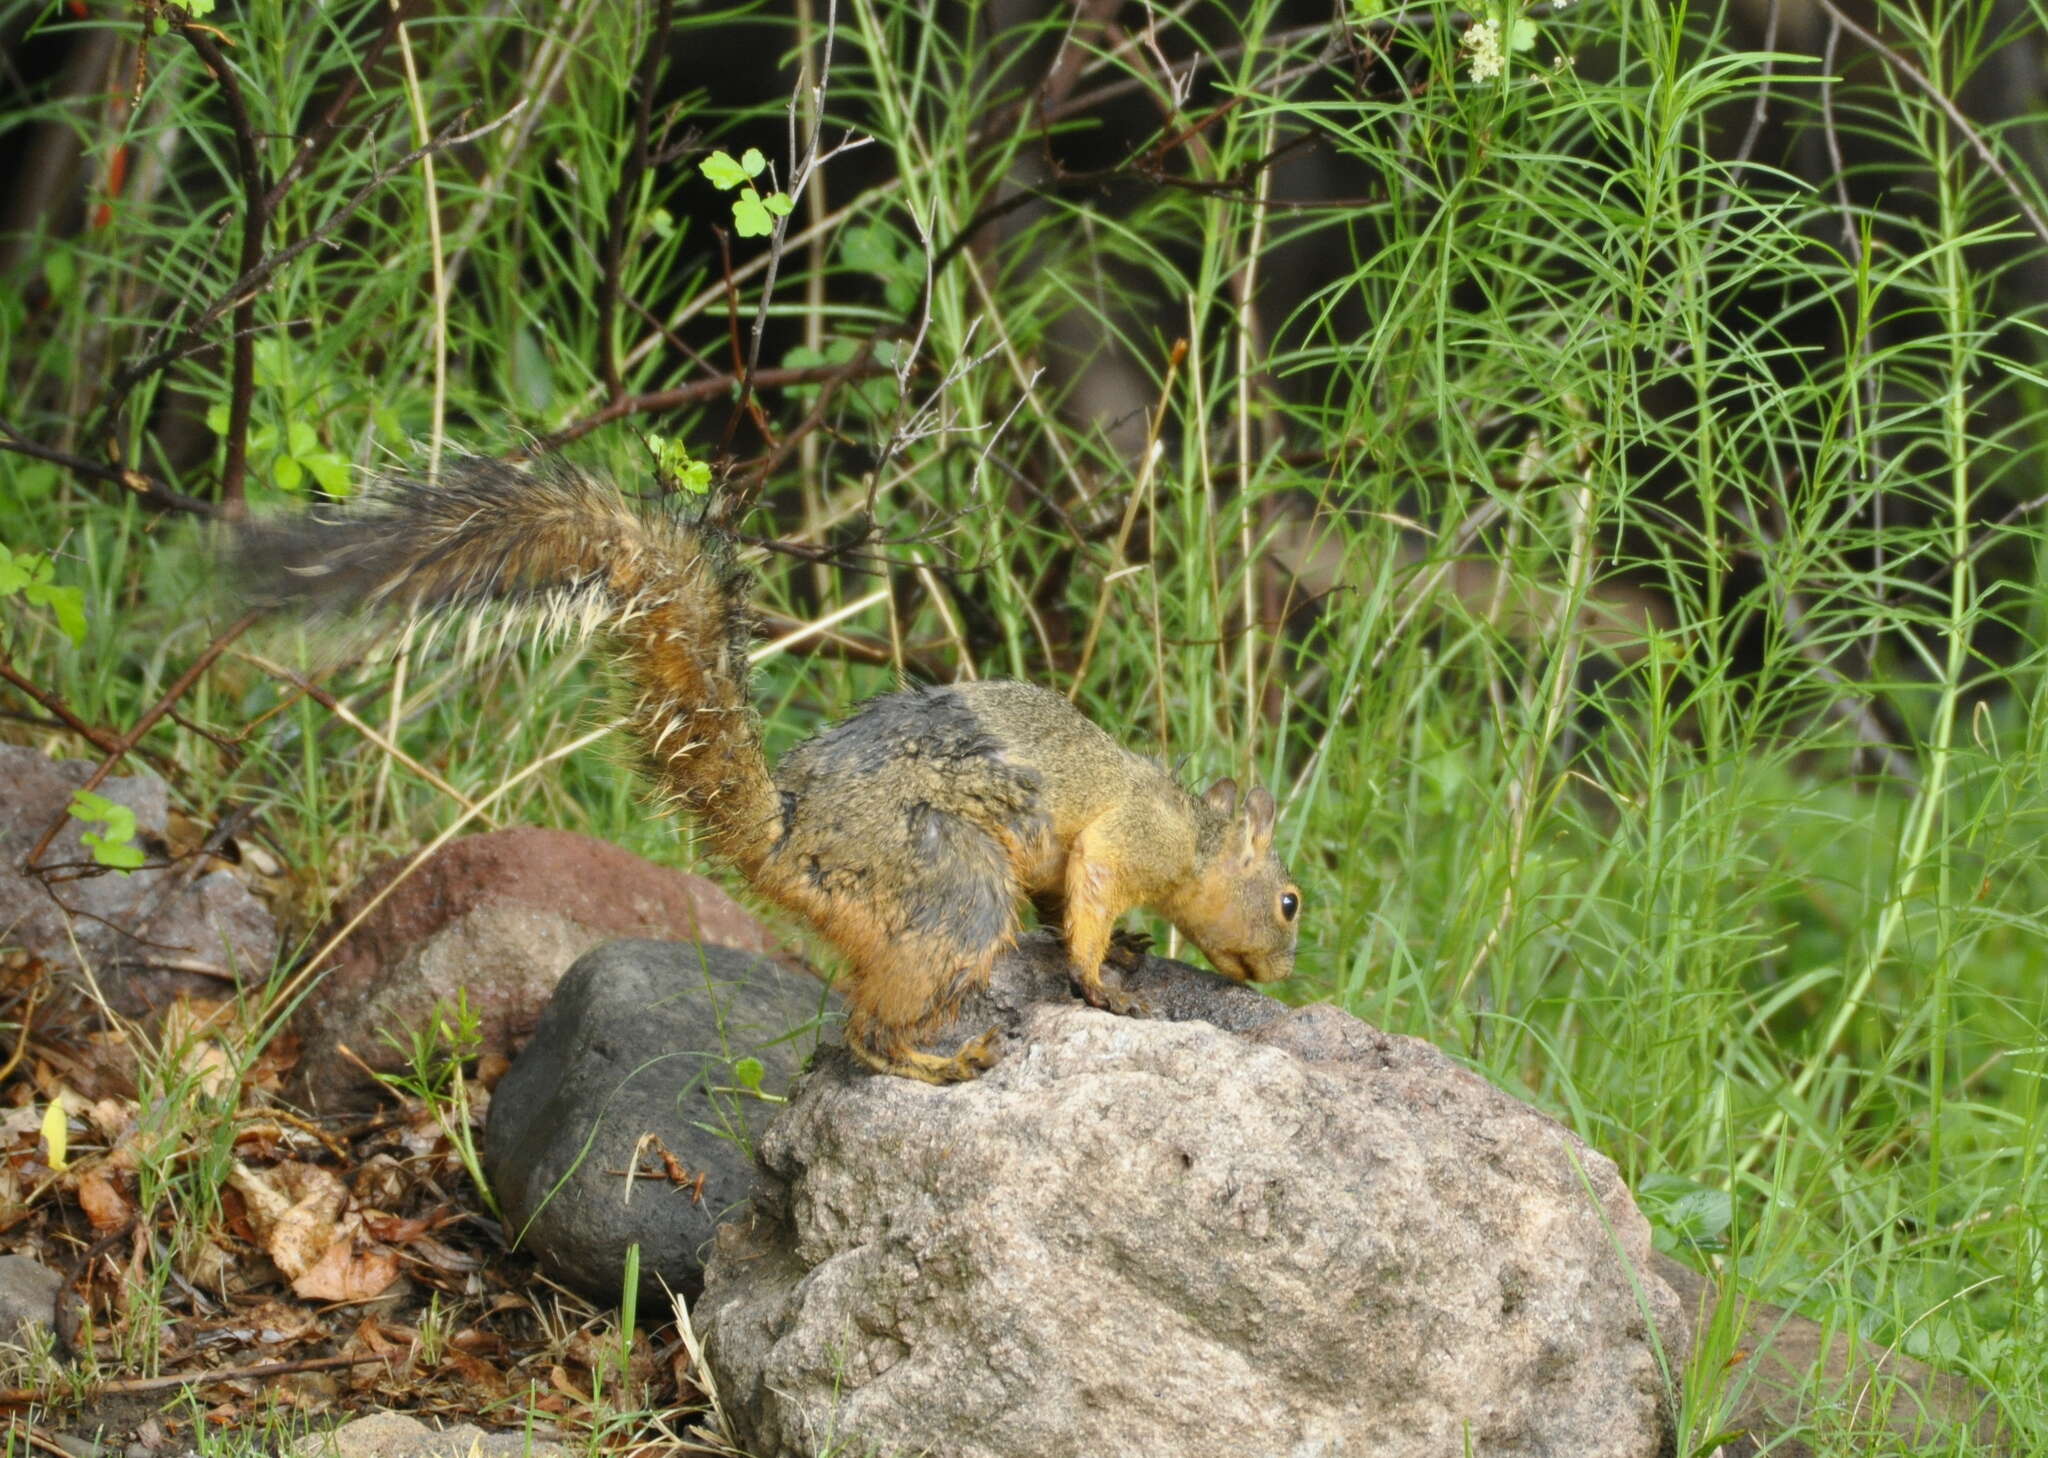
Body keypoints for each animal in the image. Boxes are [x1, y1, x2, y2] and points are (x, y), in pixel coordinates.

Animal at [235, 454, 1294, 1081]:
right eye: (1288, 903)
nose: (1284, 972)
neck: (1197, 833)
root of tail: (783, 841)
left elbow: (1062, 899)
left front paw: (1132, 947)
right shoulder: (1132, 839)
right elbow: (1088, 893)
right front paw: (1105, 978)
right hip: (947, 884)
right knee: (871, 1030)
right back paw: (937, 1062)